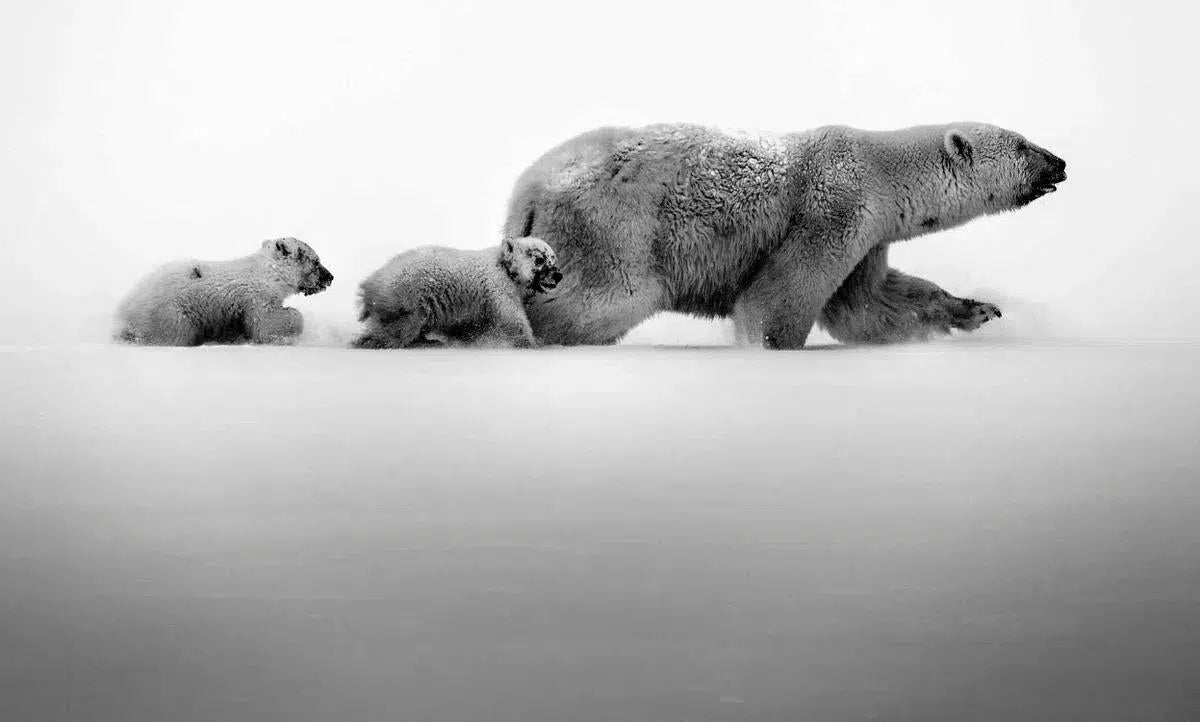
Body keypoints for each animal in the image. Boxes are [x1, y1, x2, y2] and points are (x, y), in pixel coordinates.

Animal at [114, 237, 334, 346]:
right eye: (316, 262)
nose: (330, 277)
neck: (268, 273)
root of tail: (125, 310)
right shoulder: (255, 297)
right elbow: (266, 323)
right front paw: (291, 320)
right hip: (172, 314)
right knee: (174, 334)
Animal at [353, 236, 563, 349]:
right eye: (539, 259)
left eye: (553, 259)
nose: (558, 275)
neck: (504, 267)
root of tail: (370, 283)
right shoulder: (499, 288)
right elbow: (514, 321)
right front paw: (534, 344)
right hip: (408, 298)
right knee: (400, 328)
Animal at [502, 122, 1067, 349]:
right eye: (1022, 144)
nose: (1060, 163)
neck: (881, 169)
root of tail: (526, 191)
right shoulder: (833, 207)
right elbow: (777, 299)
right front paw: (770, 349)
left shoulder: (869, 238)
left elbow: (867, 305)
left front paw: (977, 309)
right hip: (613, 228)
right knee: (601, 298)